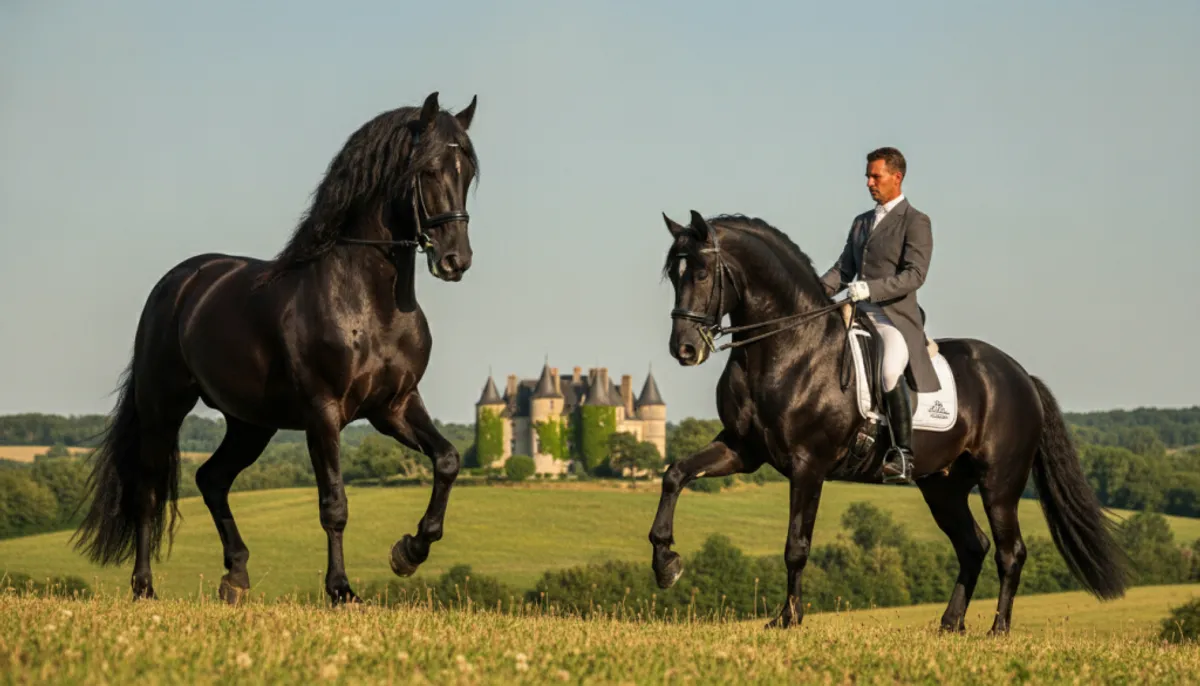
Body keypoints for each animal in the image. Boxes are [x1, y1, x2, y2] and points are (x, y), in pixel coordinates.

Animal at [71, 91, 480, 606]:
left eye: (467, 172)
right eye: (427, 169)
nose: (455, 260)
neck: (370, 303)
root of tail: (179, 283)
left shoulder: (395, 406)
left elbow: (447, 460)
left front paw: (408, 552)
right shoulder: (324, 414)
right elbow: (334, 503)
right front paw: (341, 590)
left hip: (250, 424)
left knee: (211, 479)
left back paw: (235, 577)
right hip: (163, 406)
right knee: (147, 491)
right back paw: (145, 587)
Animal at [648, 210, 1128, 633]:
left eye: (702, 273)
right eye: (675, 275)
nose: (684, 349)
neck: (786, 348)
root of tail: (1020, 375)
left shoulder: (808, 464)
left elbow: (796, 546)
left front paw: (788, 619)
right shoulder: (742, 449)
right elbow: (675, 474)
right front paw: (666, 563)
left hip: (1000, 483)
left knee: (1010, 552)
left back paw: (998, 629)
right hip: (943, 485)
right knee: (973, 546)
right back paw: (950, 624)